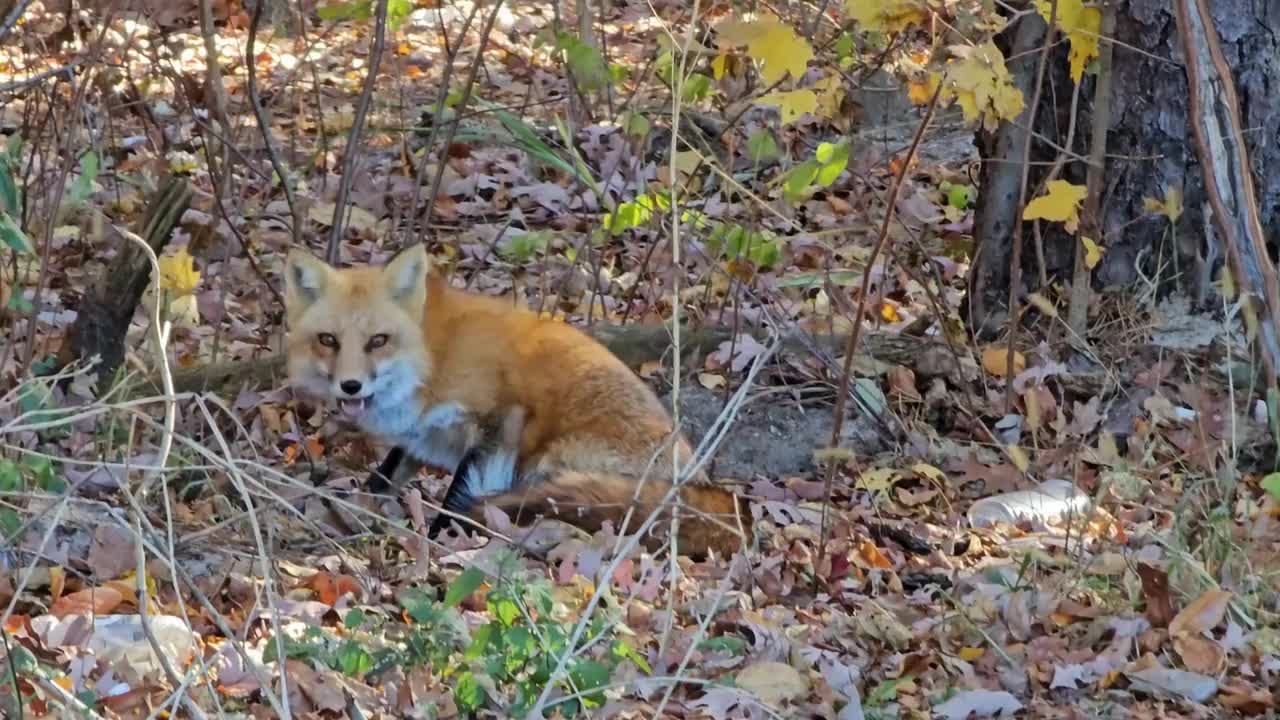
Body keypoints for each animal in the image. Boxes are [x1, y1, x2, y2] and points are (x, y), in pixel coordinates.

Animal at [280, 244, 747, 556]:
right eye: (328, 340)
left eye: (378, 341)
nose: (350, 386)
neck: (435, 358)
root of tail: (705, 485)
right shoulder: (421, 436)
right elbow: (384, 477)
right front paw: (355, 513)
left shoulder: (498, 424)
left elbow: (455, 503)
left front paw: (440, 542)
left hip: (549, 460)